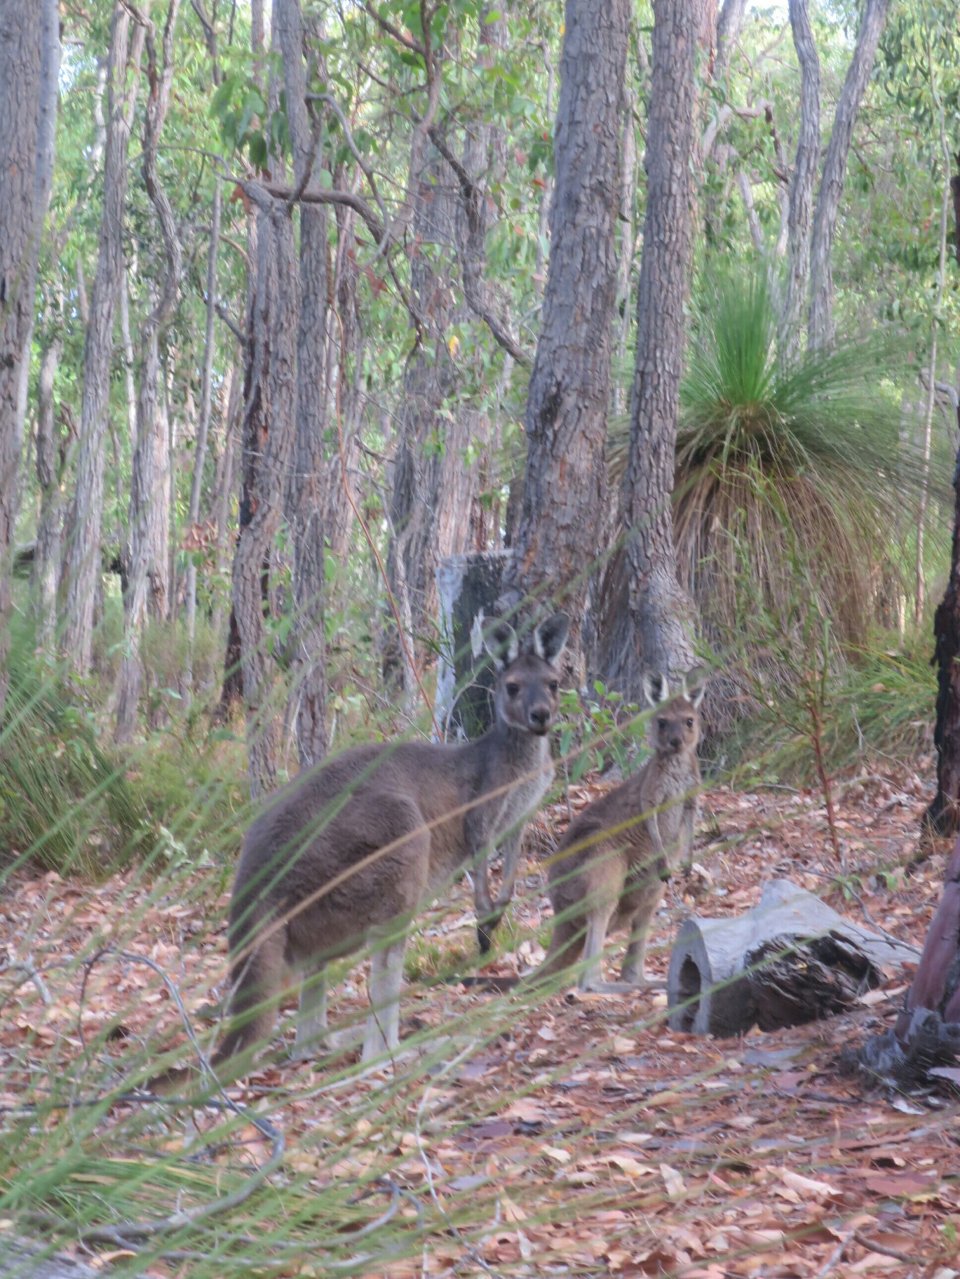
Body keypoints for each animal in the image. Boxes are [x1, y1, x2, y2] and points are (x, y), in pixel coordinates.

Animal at [186, 613, 568, 1077]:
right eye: (512, 686)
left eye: (553, 682)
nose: (541, 716)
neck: (515, 753)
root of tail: (256, 889)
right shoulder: (481, 810)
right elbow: (479, 855)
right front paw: (484, 921)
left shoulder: (519, 817)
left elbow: (510, 862)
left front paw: (497, 912)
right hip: (392, 847)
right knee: (380, 985)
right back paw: (407, 1050)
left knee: (310, 1031)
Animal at [534, 669, 706, 993]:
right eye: (662, 722)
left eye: (689, 721)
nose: (676, 742)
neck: (676, 764)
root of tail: (560, 912)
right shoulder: (651, 793)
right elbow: (651, 819)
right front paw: (665, 856)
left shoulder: (691, 795)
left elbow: (690, 822)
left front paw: (690, 865)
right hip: (602, 861)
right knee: (588, 971)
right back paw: (608, 988)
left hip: (649, 894)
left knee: (637, 933)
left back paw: (646, 982)